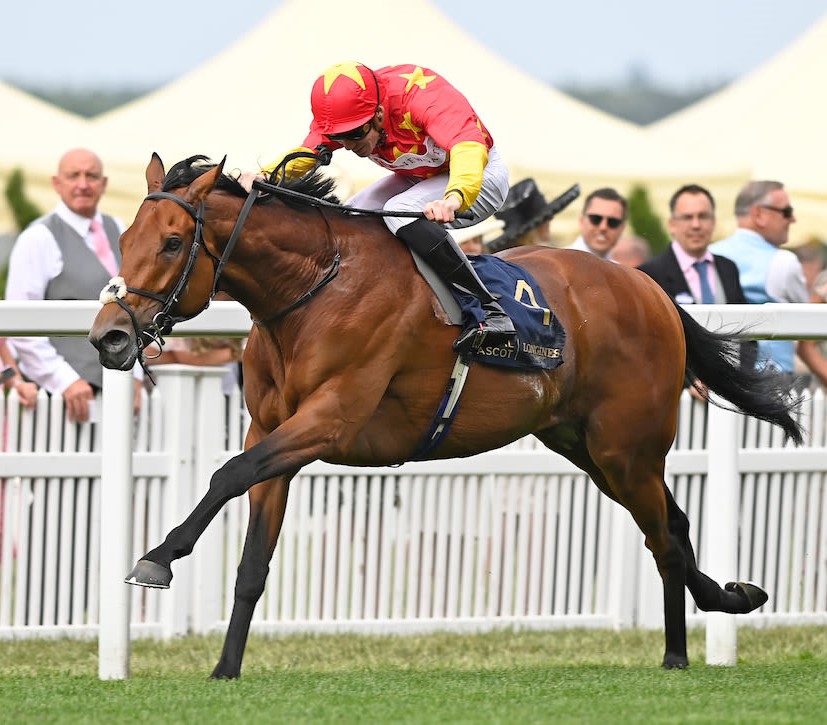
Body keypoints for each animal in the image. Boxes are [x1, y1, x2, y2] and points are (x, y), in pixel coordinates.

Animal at [89, 154, 802, 679]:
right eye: (123, 238)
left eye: (172, 242)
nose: (108, 338)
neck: (312, 288)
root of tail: (650, 289)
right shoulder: (273, 431)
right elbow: (250, 563)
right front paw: (225, 669)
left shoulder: (328, 421)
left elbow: (227, 475)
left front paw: (157, 557)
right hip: (586, 447)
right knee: (673, 526)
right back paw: (731, 598)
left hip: (626, 449)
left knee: (664, 537)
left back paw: (678, 653)